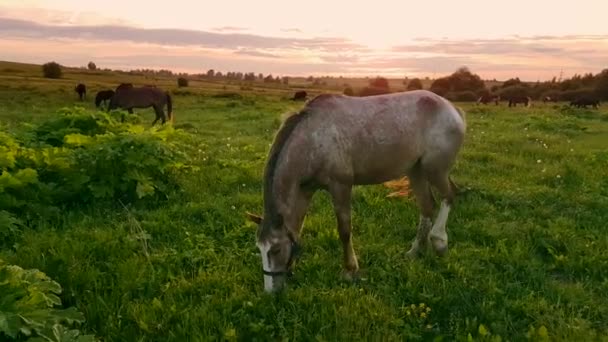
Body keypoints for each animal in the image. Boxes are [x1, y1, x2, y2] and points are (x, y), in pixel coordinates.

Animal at [246, 89, 466, 292]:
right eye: (259, 249)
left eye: (275, 250)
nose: (271, 292)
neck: (313, 138)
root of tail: (452, 109)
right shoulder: (306, 190)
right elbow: (297, 229)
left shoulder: (341, 186)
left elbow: (344, 230)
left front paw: (350, 271)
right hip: (416, 171)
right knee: (427, 206)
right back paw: (415, 252)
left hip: (435, 169)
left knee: (449, 196)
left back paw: (439, 242)